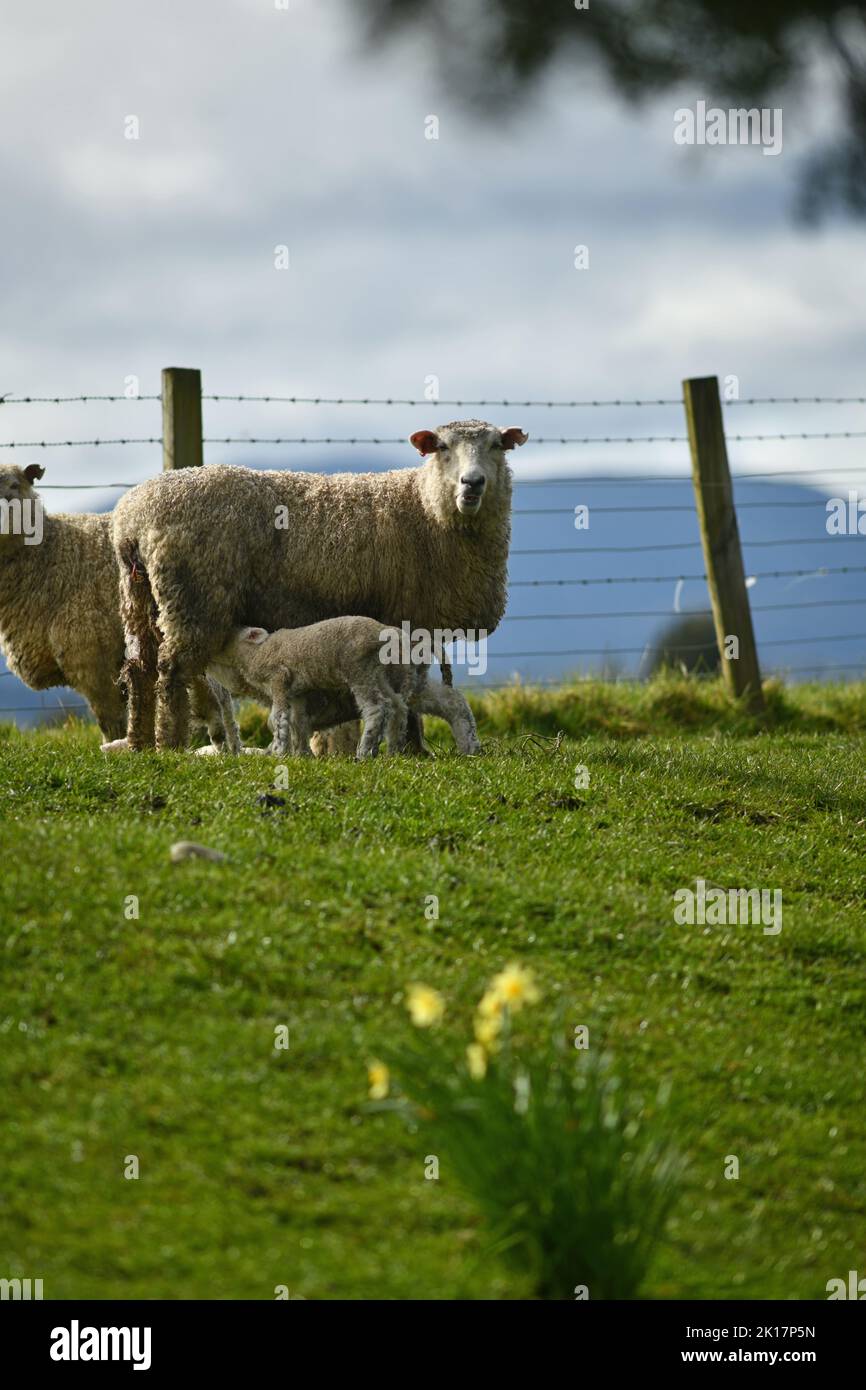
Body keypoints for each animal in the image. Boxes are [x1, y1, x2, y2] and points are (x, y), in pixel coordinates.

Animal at [207, 622, 483, 761]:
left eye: (225, 637)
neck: (255, 653)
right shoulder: (298, 692)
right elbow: (298, 721)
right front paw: (301, 753)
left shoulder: (279, 680)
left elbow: (277, 720)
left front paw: (277, 751)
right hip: (395, 677)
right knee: (438, 703)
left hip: (359, 668)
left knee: (377, 707)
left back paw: (364, 751)